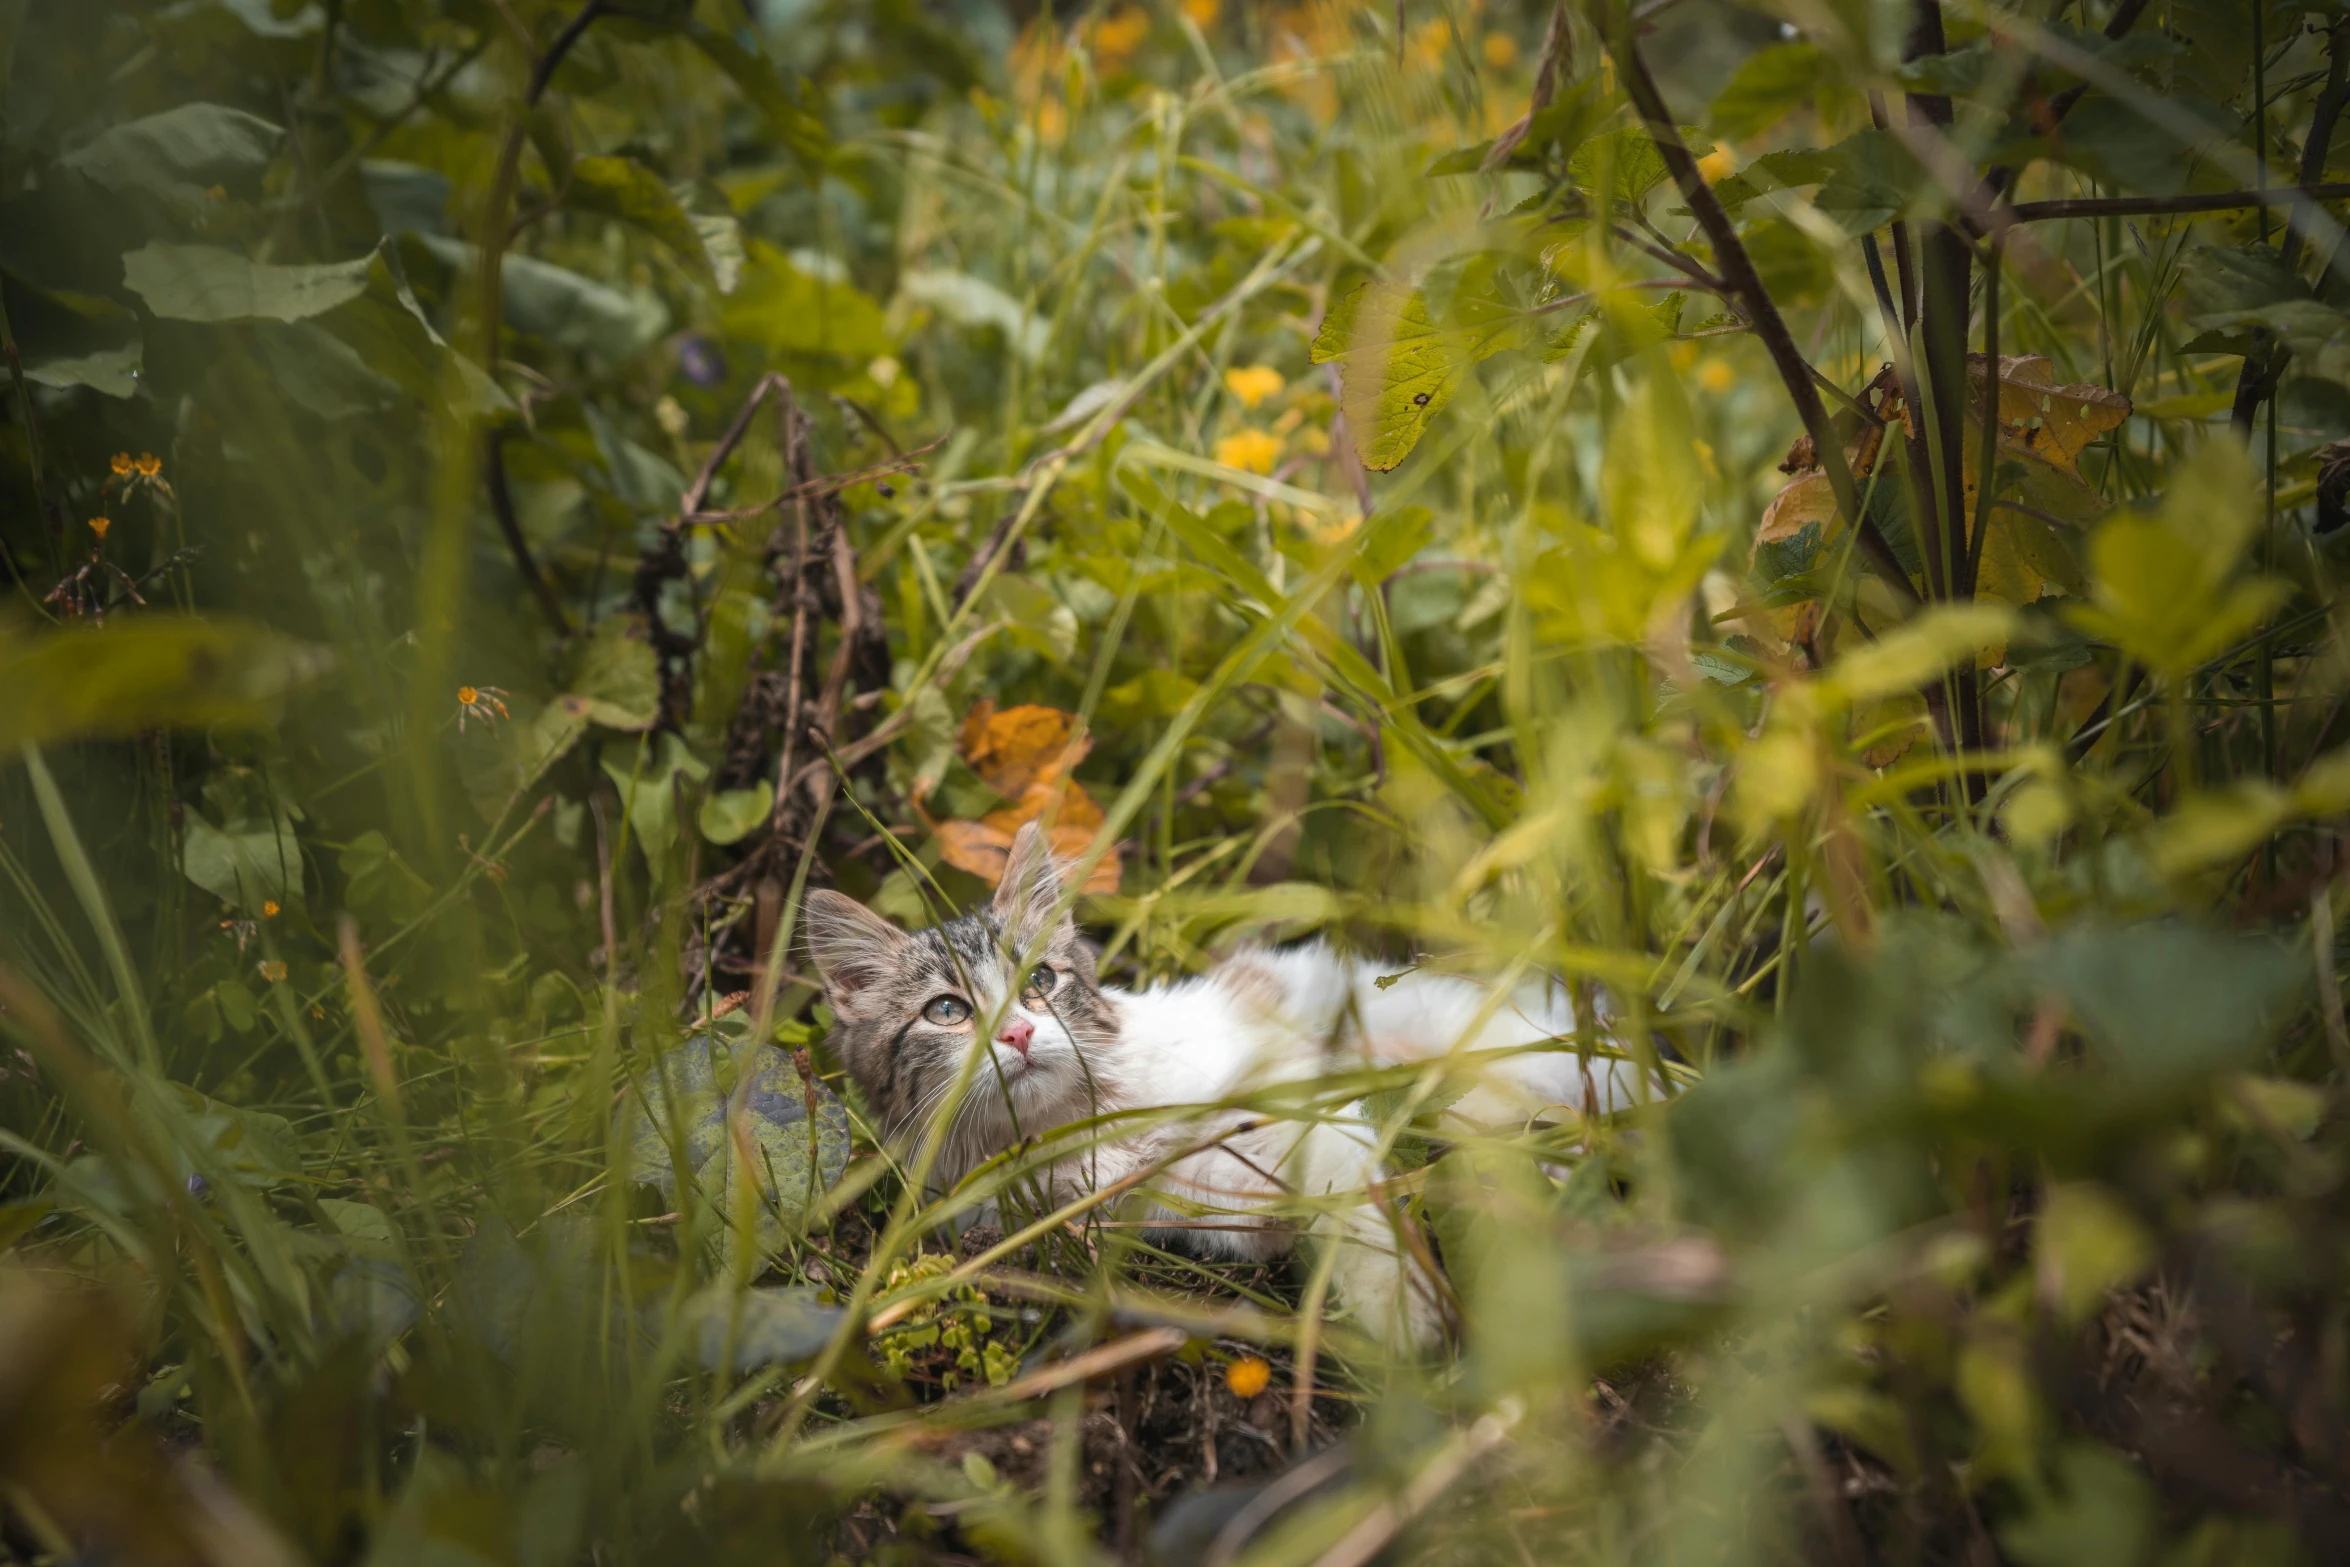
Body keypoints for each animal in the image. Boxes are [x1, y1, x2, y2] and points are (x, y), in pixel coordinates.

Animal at [798, 822, 1644, 1353]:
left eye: (1040, 981)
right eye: (948, 1011)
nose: (1018, 1034)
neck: (1082, 1124)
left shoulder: (1306, 1108)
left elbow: (1356, 1214)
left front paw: (1401, 1312)